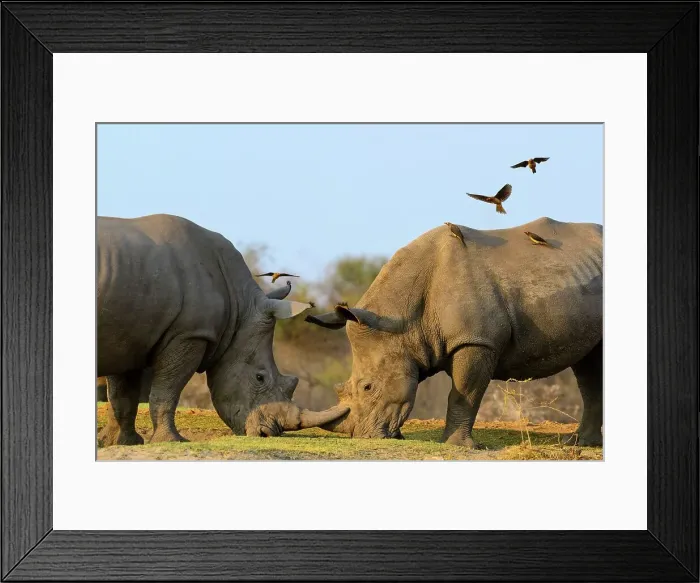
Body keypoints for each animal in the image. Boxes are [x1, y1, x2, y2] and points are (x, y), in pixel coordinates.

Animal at [97, 214, 348, 445]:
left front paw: (119, 442)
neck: (239, 308)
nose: (268, 433)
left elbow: (122, 395)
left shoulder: (130, 333)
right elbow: (167, 390)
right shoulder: (190, 333)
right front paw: (171, 441)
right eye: (259, 378)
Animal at [306, 217, 603, 448]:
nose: (362, 436)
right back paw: (580, 444)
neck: (401, 321)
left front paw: (457, 446)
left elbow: (464, 392)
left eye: (368, 387)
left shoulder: (476, 341)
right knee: (588, 367)